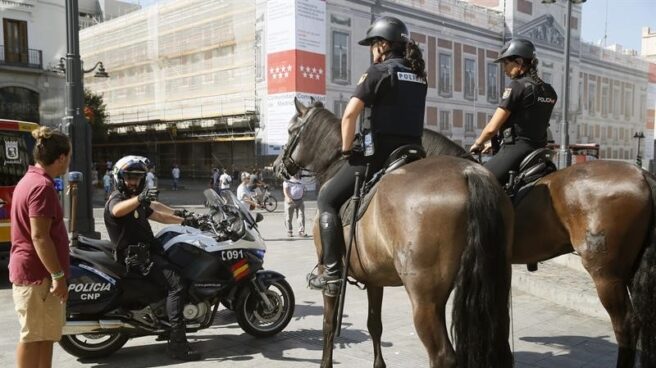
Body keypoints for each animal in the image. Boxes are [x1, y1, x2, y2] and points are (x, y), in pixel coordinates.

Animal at [274, 98, 516, 368]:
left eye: (291, 131)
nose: (276, 166)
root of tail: (469, 172)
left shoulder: (329, 272)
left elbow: (328, 324)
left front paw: (325, 363)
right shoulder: (374, 278)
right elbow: (374, 324)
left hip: (424, 299)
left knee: (442, 355)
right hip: (491, 285)